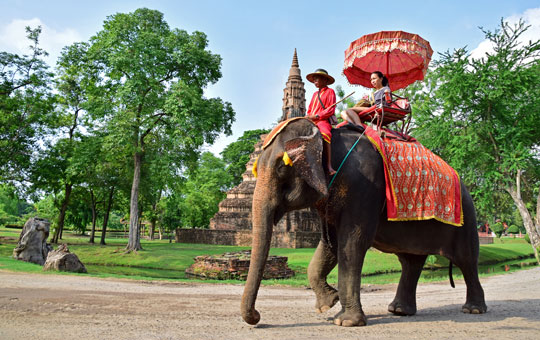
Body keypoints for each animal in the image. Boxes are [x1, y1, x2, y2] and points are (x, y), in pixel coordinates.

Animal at [240, 117, 486, 326]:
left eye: (282, 168)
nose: (257, 317)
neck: (327, 139)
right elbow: (330, 245)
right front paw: (328, 304)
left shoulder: (365, 184)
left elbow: (352, 242)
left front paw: (345, 321)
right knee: (411, 262)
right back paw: (398, 311)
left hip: (466, 219)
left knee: (466, 260)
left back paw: (473, 310)